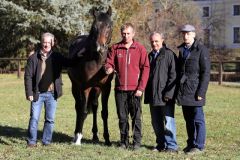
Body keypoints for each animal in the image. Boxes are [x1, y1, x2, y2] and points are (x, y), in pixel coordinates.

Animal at [67, 7, 113, 145]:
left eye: (109, 26)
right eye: (95, 27)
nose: (100, 47)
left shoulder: (106, 88)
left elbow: (104, 112)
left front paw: (107, 139)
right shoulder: (85, 87)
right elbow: (83, 111)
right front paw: (78, 137)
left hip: (96, 89)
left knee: (95, 106)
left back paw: (95, 135)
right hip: (75, 87)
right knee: (78, 107)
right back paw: (75, 135)